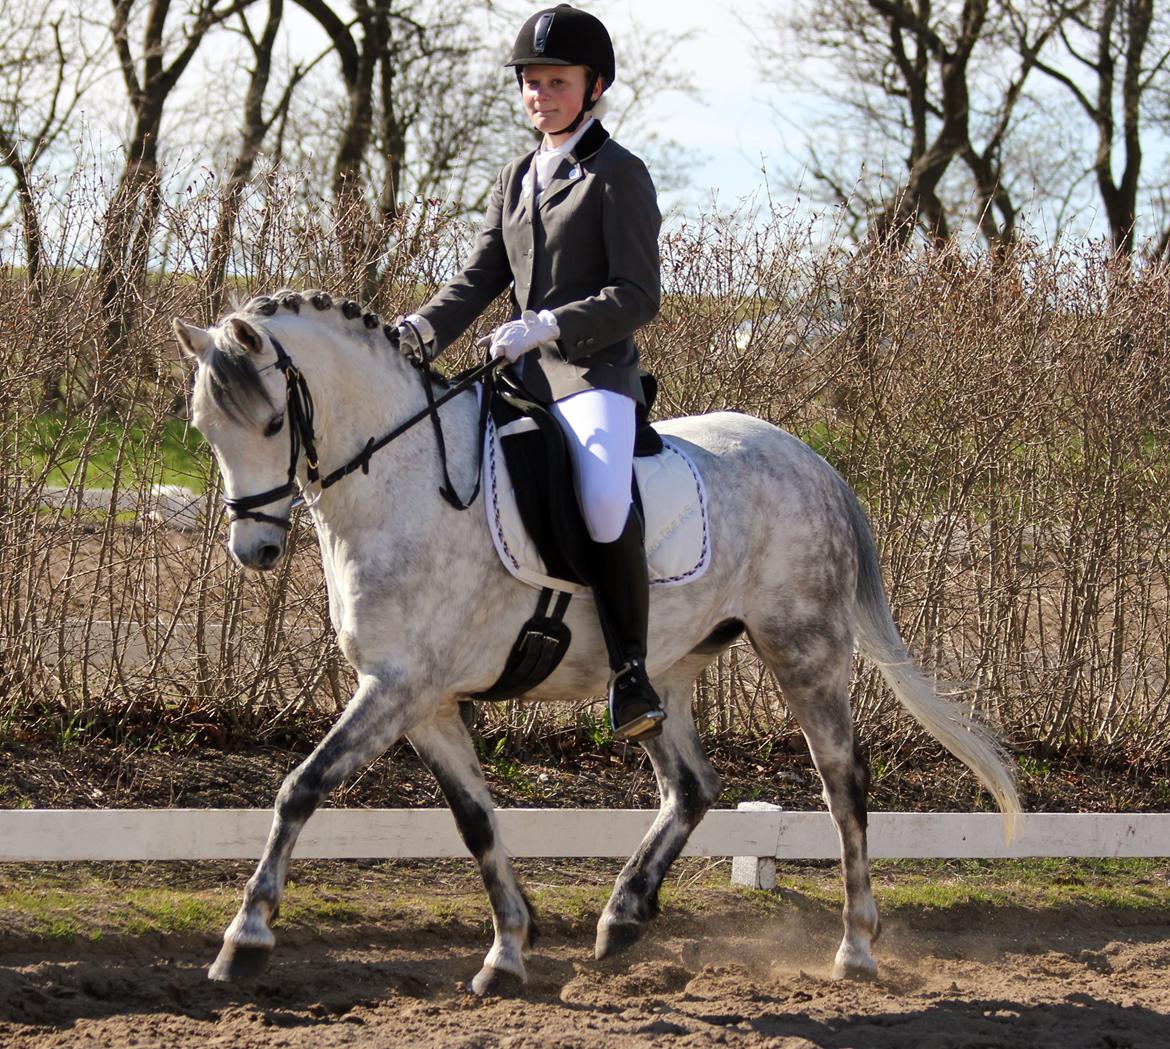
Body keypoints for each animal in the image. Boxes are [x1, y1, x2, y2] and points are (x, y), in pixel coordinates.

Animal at [170, 290, 1015, 996]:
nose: (255, 550)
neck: (403, 483)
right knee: (693, 783)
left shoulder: (399, 686)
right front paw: (508, 950)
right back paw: (624, 916)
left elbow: (300, 787)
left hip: (803, 652)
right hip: (663, 668)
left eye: (271, 424)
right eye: (204, 431)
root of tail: (814, 462)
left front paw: (245, 938)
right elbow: (476, 821)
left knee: (843, 782)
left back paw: (855, 947)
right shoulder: (424, 701)